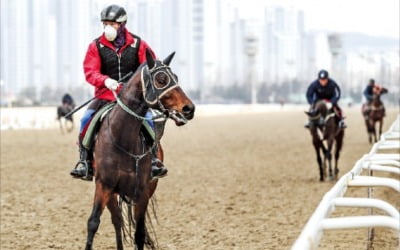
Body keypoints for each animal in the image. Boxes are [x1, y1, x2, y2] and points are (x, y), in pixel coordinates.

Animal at [85, 49, 195, 250]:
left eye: (175, 77)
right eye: (161, 79)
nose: (189, 109)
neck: (122, 138)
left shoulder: (143, 191)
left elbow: (140, 232)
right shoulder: (104, 185)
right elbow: (93, 223)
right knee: (117, 220)